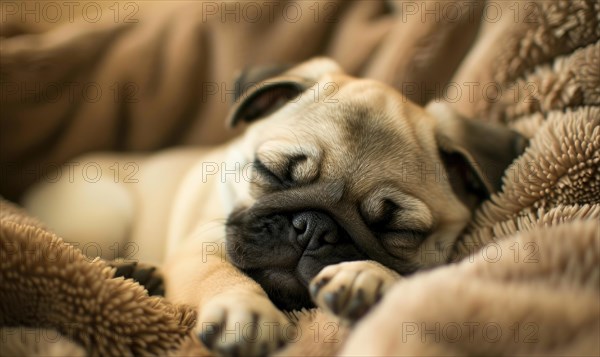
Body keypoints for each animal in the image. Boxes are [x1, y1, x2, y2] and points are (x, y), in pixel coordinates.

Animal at [22, 57, 524, 354]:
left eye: (397, 230)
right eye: (273, 171)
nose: (313, 226)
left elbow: (411, 275)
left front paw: (368, 276)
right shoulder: (202, 244)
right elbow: (220, 273)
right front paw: (247, 312)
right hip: (106, 211)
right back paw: (131, 272)